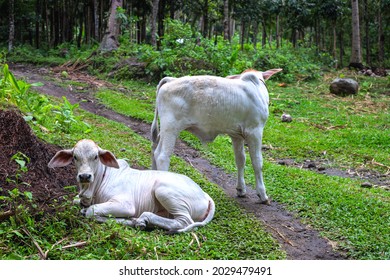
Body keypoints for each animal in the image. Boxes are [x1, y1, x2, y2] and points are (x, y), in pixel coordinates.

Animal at [48, 139, 216, 233]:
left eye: (95, 156)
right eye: (75, 157)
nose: (84, 176)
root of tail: (205, 195)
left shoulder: (125, 205)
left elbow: (90, 211)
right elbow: (78, 202)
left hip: (164, 190)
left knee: (184, 221)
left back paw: (144, 219)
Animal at [151, 68, 282, 203]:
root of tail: (171, 80)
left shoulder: (237, 135)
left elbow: (240, 160)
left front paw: (241, 189)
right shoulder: (255, 131)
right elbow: (257, 162)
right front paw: (262, 194)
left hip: (164, 131)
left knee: (155, 151)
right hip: (171, 128)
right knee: (162, 156)